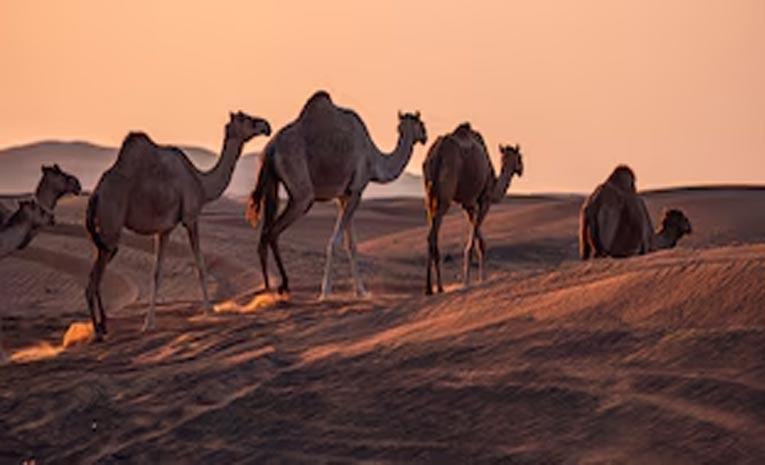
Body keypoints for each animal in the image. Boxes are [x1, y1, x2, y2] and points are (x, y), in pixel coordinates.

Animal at [85, 112, 270, 339]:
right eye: (246, 119)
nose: (266, 126)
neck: (201, 184)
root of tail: (95, 194)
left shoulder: (164, 229)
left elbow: (157, 273)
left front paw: (149, 323)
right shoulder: (191, 218)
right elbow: (200, 265)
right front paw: (210, 310)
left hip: (103, 237)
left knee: (93, 280)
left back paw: (101, 328)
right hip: (110, 230)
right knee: (94, 282)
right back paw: (99, 331)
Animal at [247, 91, 427, 299]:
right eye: (421, 123)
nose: (426, 136)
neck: (374, 160)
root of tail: (271, 148)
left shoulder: (344, 196)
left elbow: (352, 245)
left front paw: (361, 291)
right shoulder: (356, 191)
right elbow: (336, 241)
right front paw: (325, 292)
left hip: (271, 183)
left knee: (264, 235)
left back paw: (268, 288)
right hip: (302, 194)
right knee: (272, 232)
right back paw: (283, 285)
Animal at [423, 123, 524, 294]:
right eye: (520, 157)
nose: (522, 169)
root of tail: (438, 151)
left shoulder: (468, 205)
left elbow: (479, 240)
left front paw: (481, 278)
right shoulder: (484, 200)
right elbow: (476, 240)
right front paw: (469, 281)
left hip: (430, 195)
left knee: (431, 235)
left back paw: (430, 288)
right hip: (445, 195)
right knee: (434, 232)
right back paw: (439, 287)